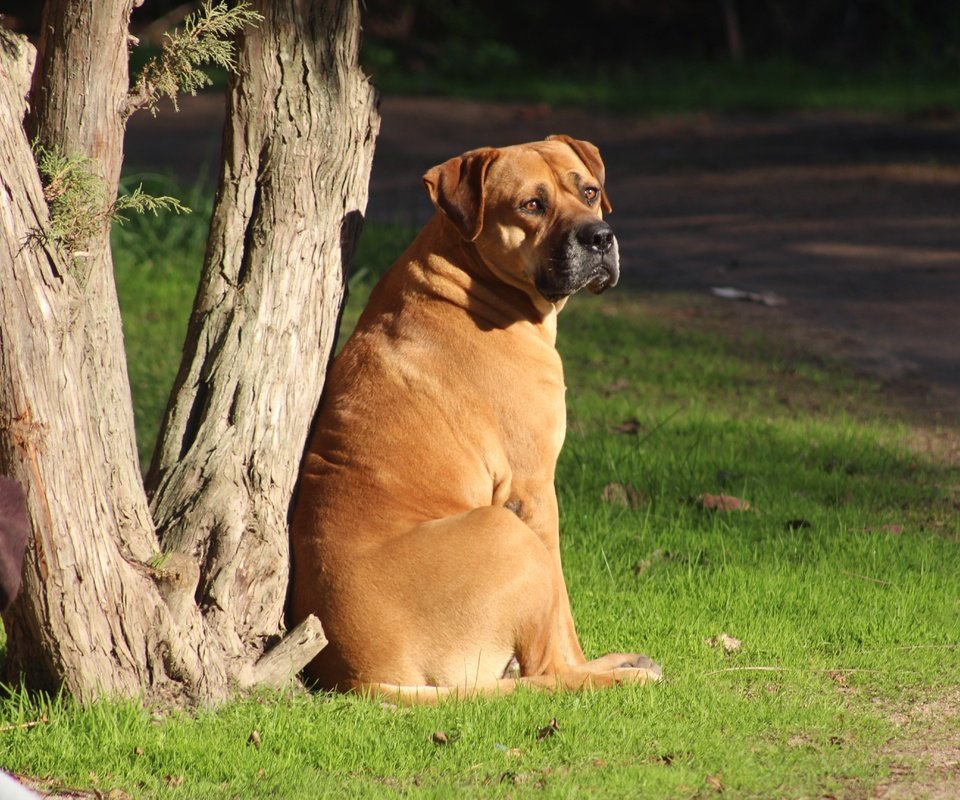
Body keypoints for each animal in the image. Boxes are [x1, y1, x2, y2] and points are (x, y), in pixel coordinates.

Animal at [286, 136, 660, 700]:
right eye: (532, 205)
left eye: (590, 191)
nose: (600, 237)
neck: (470, 275)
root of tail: (363, 678)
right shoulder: (534, 490)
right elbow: (564, 612)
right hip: (507, 534)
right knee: (547, 670)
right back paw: (616, 675)